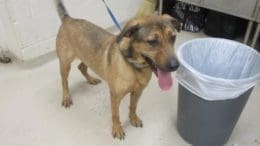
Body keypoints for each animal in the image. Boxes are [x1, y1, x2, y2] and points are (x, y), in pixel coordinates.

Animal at [54, 0, 181, 139]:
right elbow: (115, 115)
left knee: (81, 67)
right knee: (64, 82)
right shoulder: (115, 96)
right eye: (152, 41)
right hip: (65, 64)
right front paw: (117, 128)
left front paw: (133, 119)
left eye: (173, 37)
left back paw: (91, 80)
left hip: (87, 57)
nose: (175, 66)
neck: (133, 66)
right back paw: (66, 97)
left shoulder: (137, 92)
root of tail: (68, 19)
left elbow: (133, 107)